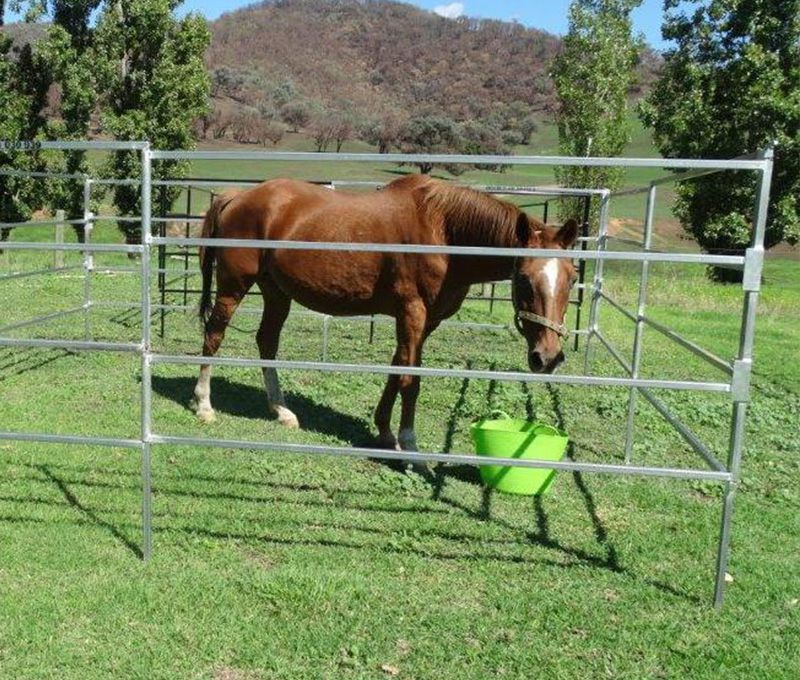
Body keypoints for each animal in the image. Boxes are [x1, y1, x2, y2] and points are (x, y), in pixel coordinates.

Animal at [195, 175, 580, 452]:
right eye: (525, 279)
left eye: (573, 278)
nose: (548, 356)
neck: (444, 232)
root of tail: (237, 196)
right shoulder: (412, 312)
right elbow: (411, 379)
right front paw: (408, 445)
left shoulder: (425, 321)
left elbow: (397, 369)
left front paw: (383, 431)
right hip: (233, 287)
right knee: (214, 335)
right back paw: (204, 406)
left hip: (276, 293)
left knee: (267, 343)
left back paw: (282, 411)